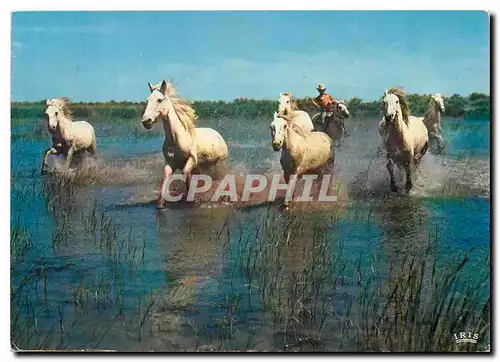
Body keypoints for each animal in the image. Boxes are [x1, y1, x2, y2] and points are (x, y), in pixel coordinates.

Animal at [142, 79, 229, 209]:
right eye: (147, 100)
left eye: (159, 100)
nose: (146, 121)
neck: (176, 139)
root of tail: (218, 134)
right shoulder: (170, 163)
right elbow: (166, 177)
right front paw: (160, 203)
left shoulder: (192, 160)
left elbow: (185, 172)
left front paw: (190, 198)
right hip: (205, 166)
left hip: (220, 163)